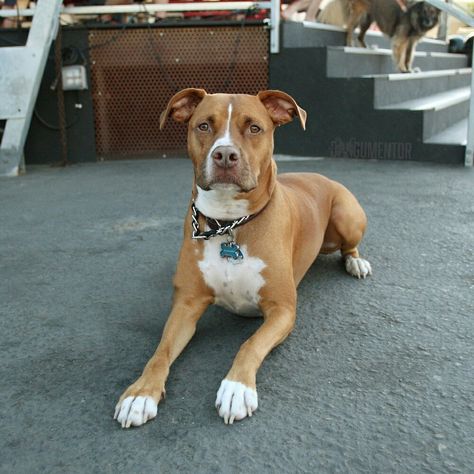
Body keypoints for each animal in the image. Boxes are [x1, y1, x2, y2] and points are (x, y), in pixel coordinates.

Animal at [113, 87, 372, 428]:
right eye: (203, 126)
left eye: (254, 128)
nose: (225, 155)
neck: (228, 223)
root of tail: (320, 174)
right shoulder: (186, 306)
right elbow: (161, 351)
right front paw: (141, 393)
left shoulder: (282, 310)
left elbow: (249, 344)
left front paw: (236, 388)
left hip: (346, 215)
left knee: (349, 246)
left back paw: (356, 262)